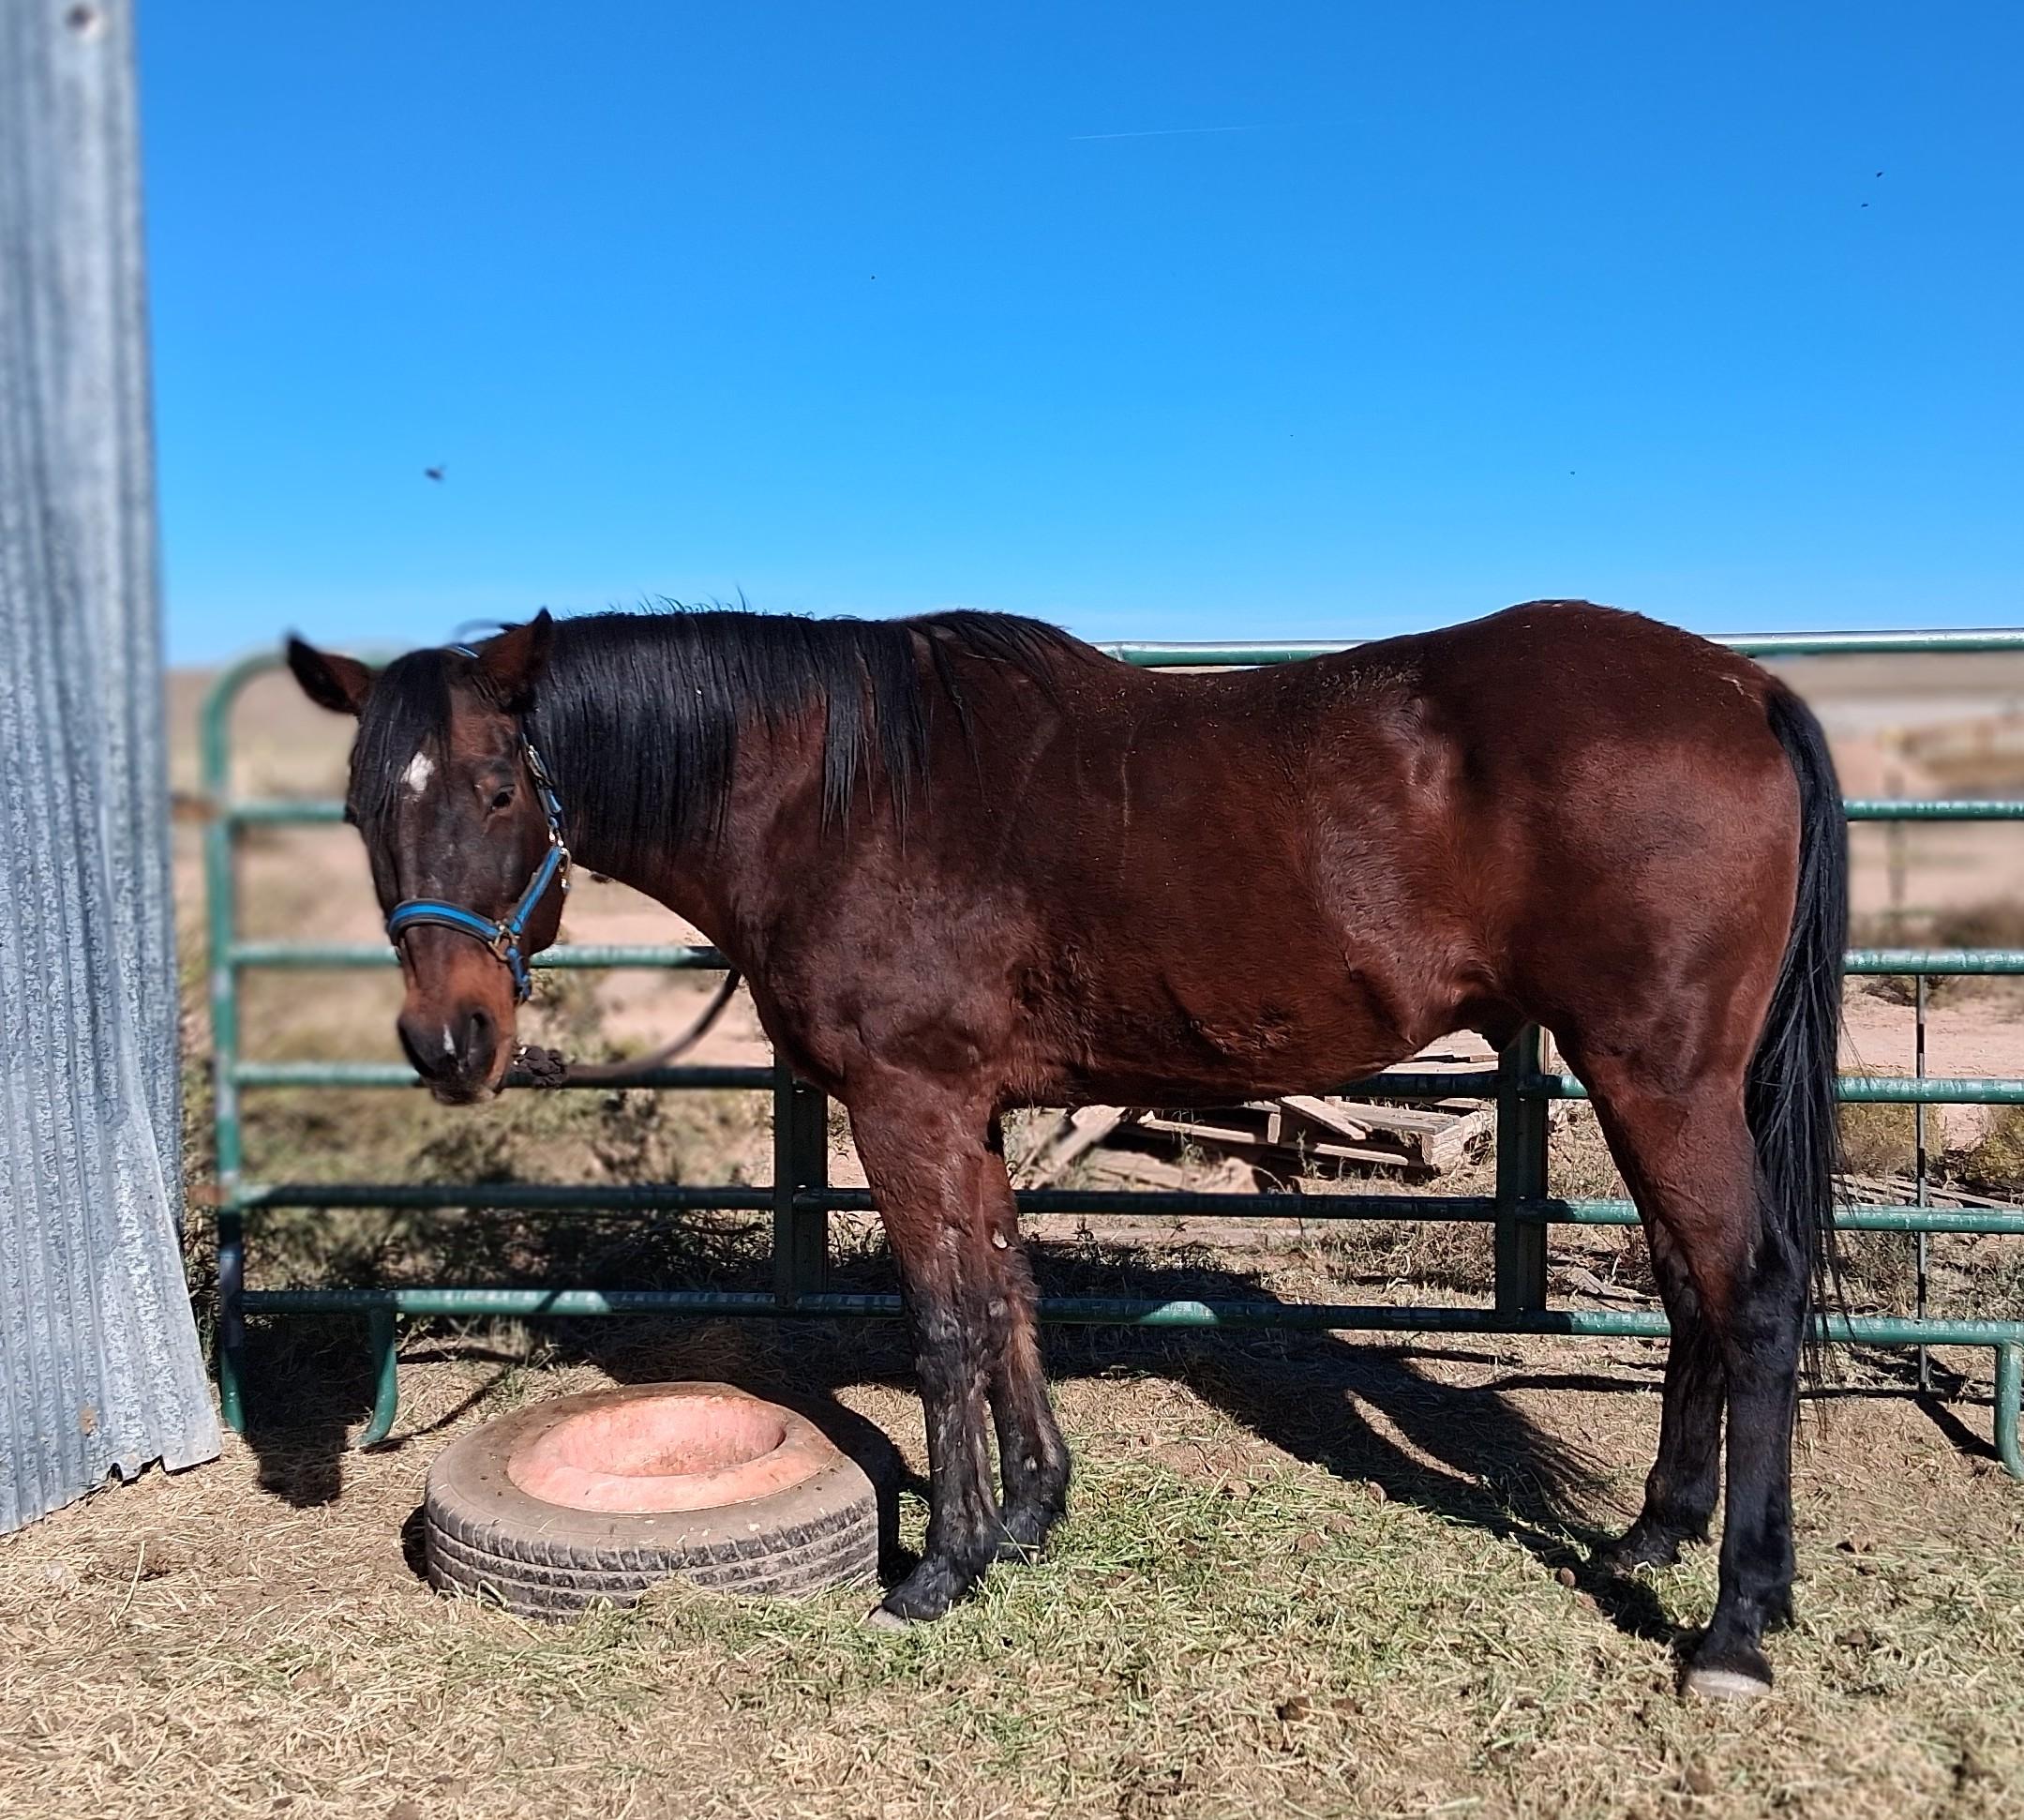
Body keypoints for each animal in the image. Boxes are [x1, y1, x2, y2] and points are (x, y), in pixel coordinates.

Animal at [285, 598, 1845, 1699]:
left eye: (498, 790)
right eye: (361, 808)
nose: (449, 1041)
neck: (831, 794)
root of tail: (1740, 687)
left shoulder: (901, 1104)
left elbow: (940, 1326)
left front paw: (943, 1568)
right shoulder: (964, 1110)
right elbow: (1003, 1298)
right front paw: (1033, 1514)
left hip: (1659, 1079)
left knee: (1750, 1294)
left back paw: (1733, 1624)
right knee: (1689, 1287)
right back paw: (1652, 1535)